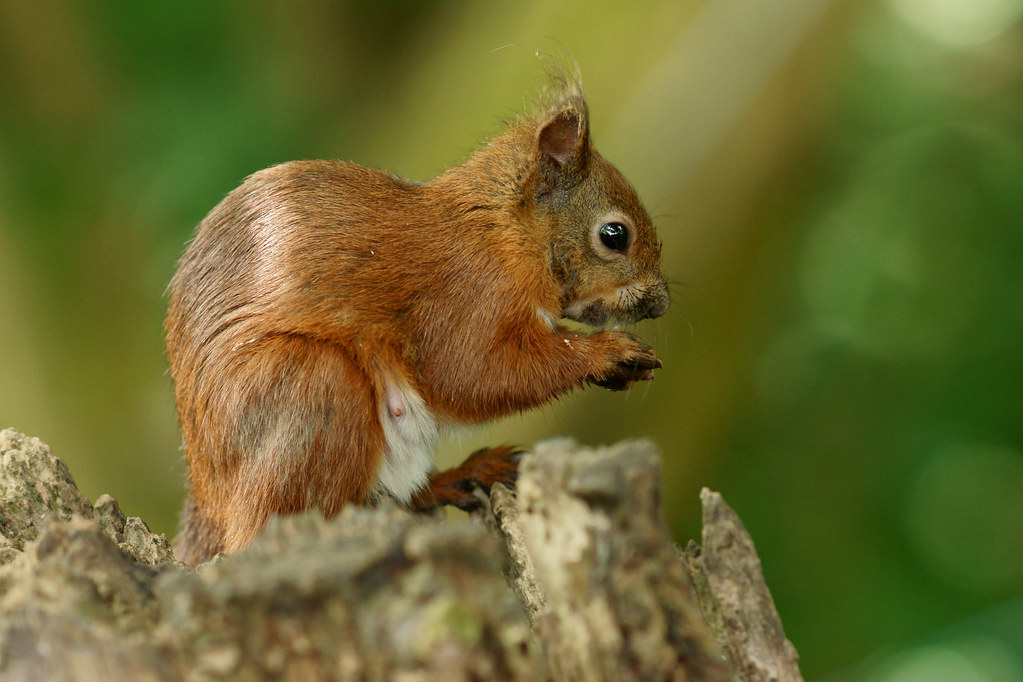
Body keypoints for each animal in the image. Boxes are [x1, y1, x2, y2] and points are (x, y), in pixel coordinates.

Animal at [165, 79, 669, 566]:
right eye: (614, 235)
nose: (660, 303)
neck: (504, 231)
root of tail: (207, 501)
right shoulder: (466, 294)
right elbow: (471, 375)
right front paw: (609, 352)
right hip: (309, 389)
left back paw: (463, 475)